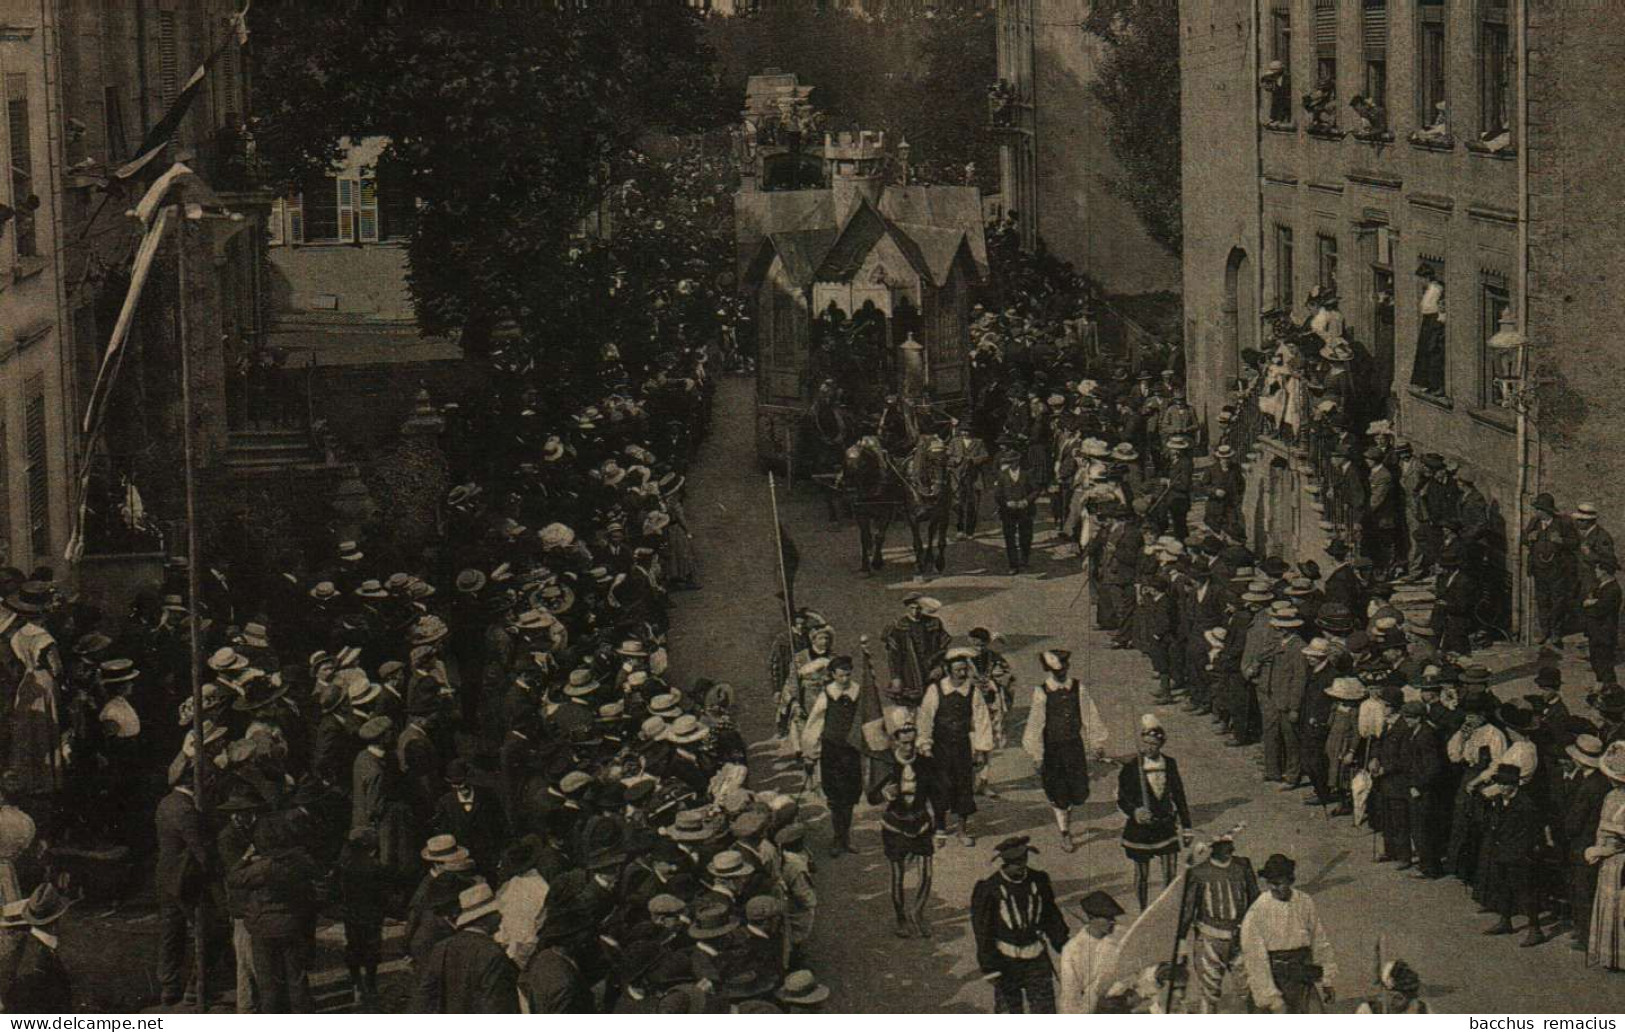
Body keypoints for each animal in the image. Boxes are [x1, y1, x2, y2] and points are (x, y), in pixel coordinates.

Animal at [845, 435, 910, 572]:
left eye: (863, 464)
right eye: (846, 461)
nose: (850, 490)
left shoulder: (885, 513)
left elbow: (879, 536)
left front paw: (877, 562)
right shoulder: (861, 513)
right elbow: (865, 537)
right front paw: (865, 564)